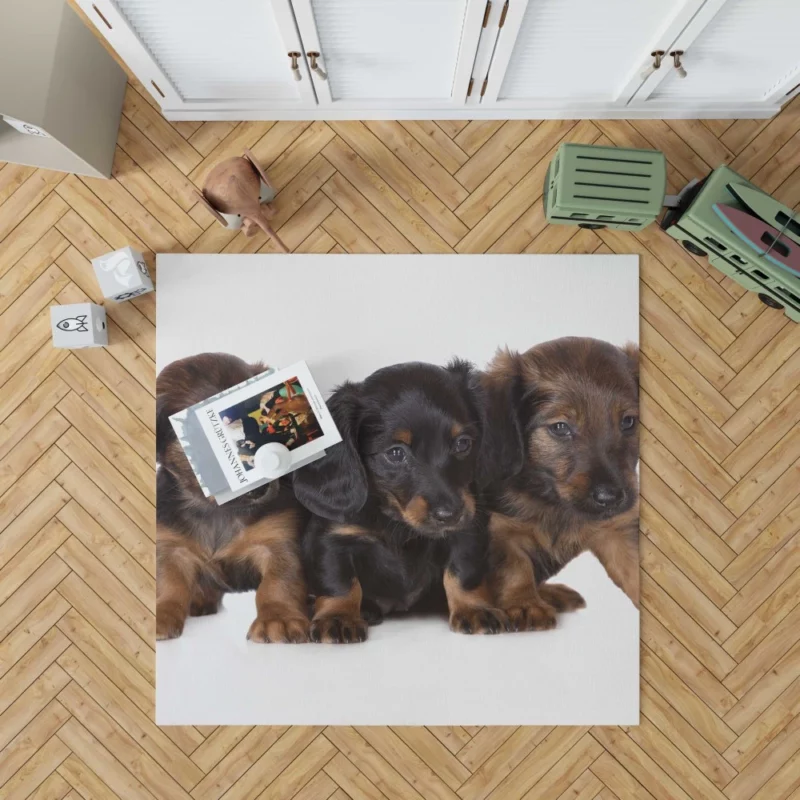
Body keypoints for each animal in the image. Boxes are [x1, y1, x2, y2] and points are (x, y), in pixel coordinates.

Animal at [156, 354, 310, 640]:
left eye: (258, 428)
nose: (259, 489)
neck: (220, 512)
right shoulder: (172, 548)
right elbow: (168, 583)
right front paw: (160, 614)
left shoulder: (278, 540)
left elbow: (278, 582)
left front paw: (278, 617)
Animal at [292, 362, 506, 644]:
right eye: (395, 453)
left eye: (462, 444)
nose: (450, 514)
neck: (397, 520)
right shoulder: (331, 537)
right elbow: (339, 582)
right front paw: (338, 618)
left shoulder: (468, 529)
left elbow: (463, 572)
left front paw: (474, 608)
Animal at [478, 334, 640, 628]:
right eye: (560, 427)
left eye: (628, 422)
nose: (610, 498)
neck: (553, 500)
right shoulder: (499, 527)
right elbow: (514, 567)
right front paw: (525, 604)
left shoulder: (618, 530)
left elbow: (635, 568)